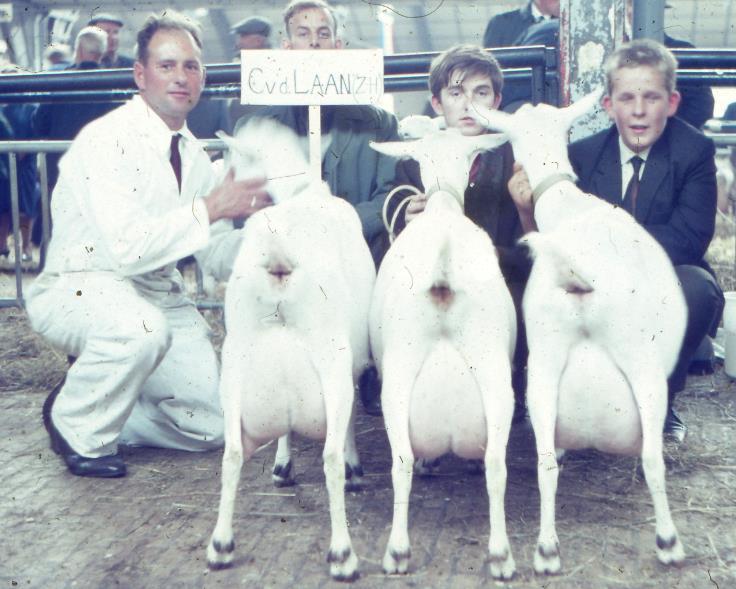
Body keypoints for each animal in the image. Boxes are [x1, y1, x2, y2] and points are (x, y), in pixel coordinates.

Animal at [208, 118, 380, 580]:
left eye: (230, 164)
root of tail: (279, 255)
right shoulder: (352, 360)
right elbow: (349, 422)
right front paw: (356, 468)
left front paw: (282, 467)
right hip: (330, 359)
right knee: (330, 456)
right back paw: (342, 555)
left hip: (234, 367)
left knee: (231, 454)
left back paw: (220, 546)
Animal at [368, 126, 516, 580]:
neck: (444, 208)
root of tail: (444, 268)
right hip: (493, 374)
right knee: (495, 464)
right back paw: (501, 555)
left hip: (398, 376)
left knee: (402, 461)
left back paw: (398, 551)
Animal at [472, 94, 688, 572]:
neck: (568, 205)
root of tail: (578, 272)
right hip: (642, 361)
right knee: (652, 458)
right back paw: (668, 542)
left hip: (543, 362)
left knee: (545, 463)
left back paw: (547, 550)